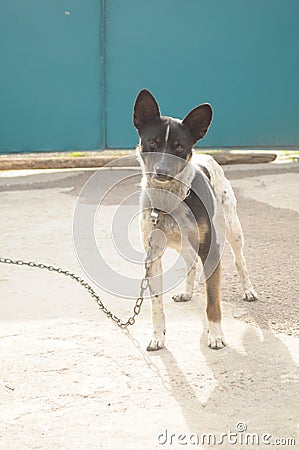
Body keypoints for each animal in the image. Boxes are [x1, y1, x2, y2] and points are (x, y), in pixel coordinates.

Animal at [134, 89, 258, 352]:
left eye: (180, 147)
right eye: (153, 143)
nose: (162, 171)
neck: (171, 198)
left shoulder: (211, 250)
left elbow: (213, 300)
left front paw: (216, 335)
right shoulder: (153, 256)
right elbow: (156, 304)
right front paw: (158, 336)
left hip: (232, 229)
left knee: (240, 261)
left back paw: (249, 290)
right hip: (185, 243)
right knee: (190, 263)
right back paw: (187, 292)